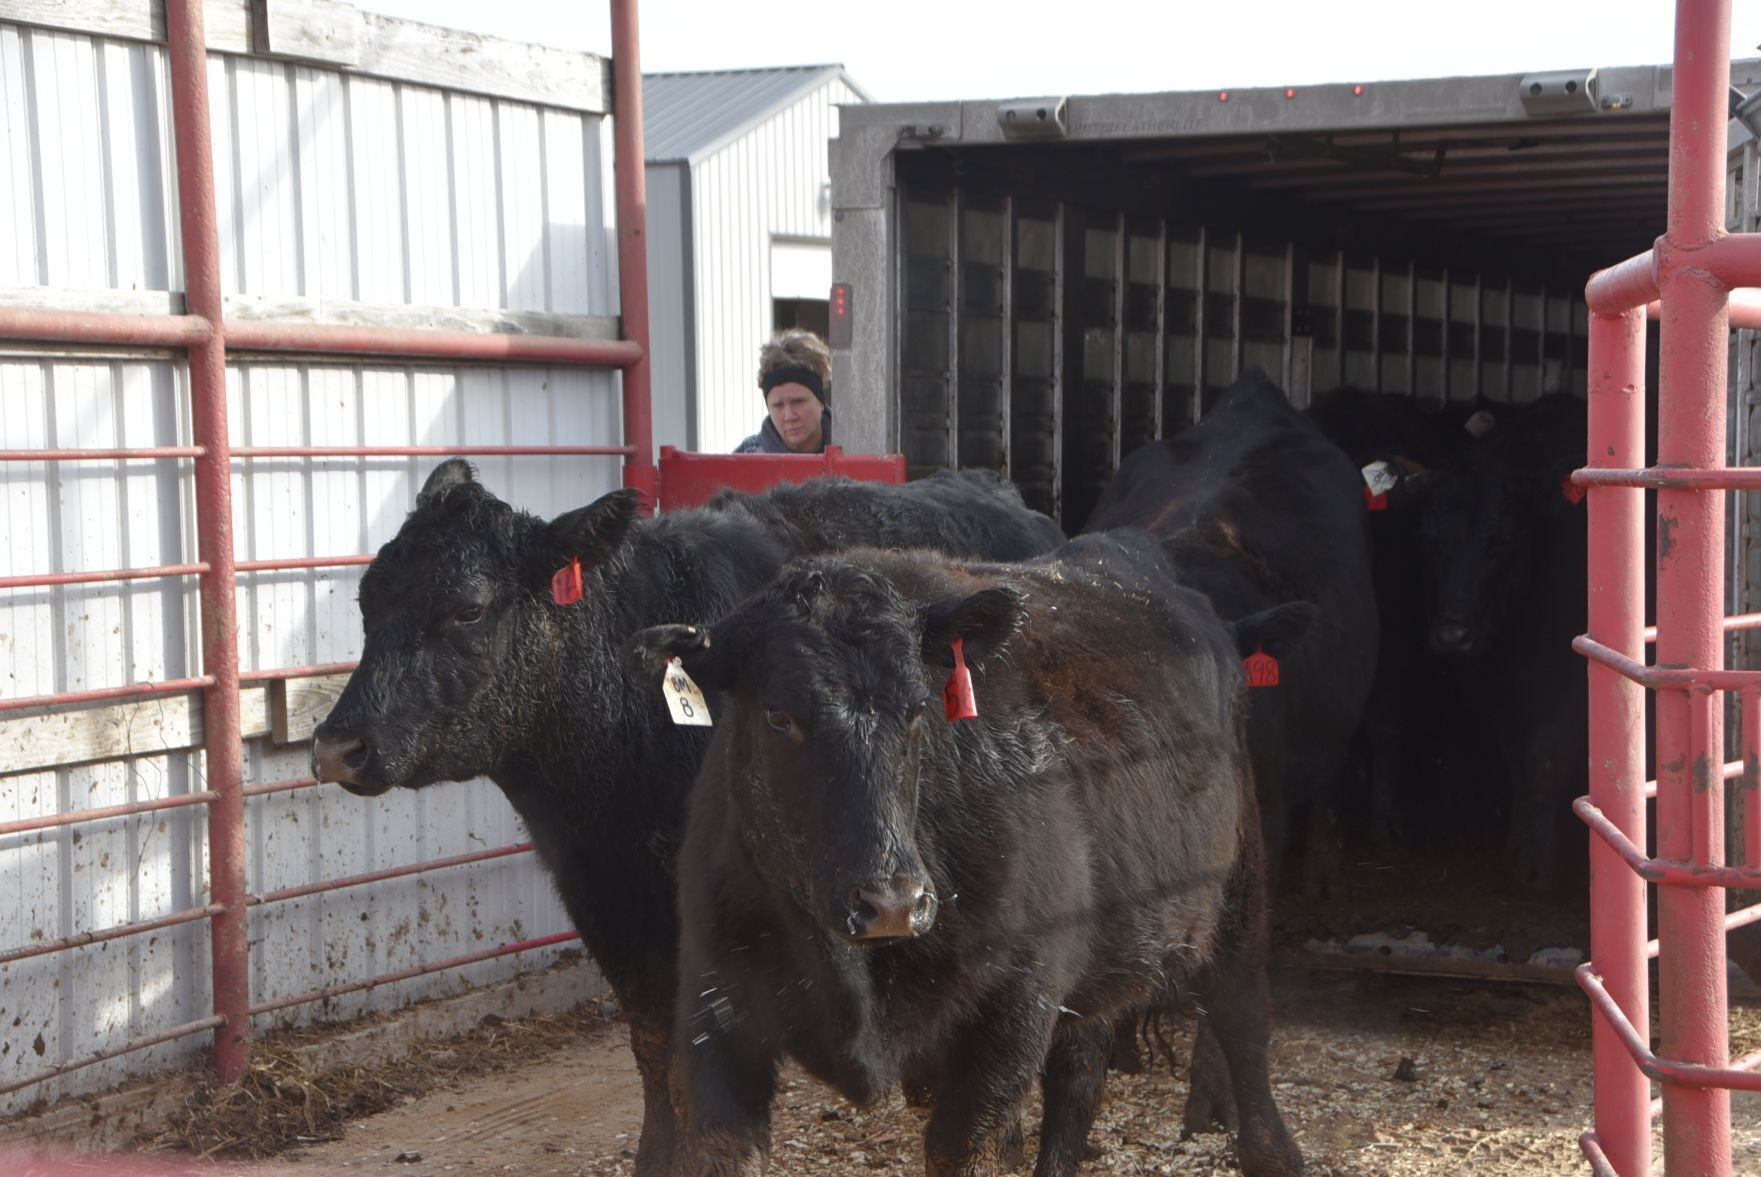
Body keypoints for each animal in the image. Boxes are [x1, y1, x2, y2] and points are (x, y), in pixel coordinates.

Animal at [641, 532, 1303, 1177]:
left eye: (918, 710)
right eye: (777, 715)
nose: (892, 903)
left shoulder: (1017, 1002)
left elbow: (965, 1144)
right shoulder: (713, 1014)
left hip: (1240, 888)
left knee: (1242, 1018)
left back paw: (1273, 1152)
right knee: (1079, 1076)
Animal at [1415, 391, 1598, 888]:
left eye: (1502, 540)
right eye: (1432, 539)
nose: (1452, 635)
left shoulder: (1572, 679)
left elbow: (1547, 753)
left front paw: (1536, 862)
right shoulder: (1493, 684)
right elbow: (1517, 756)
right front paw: (1518, 842)